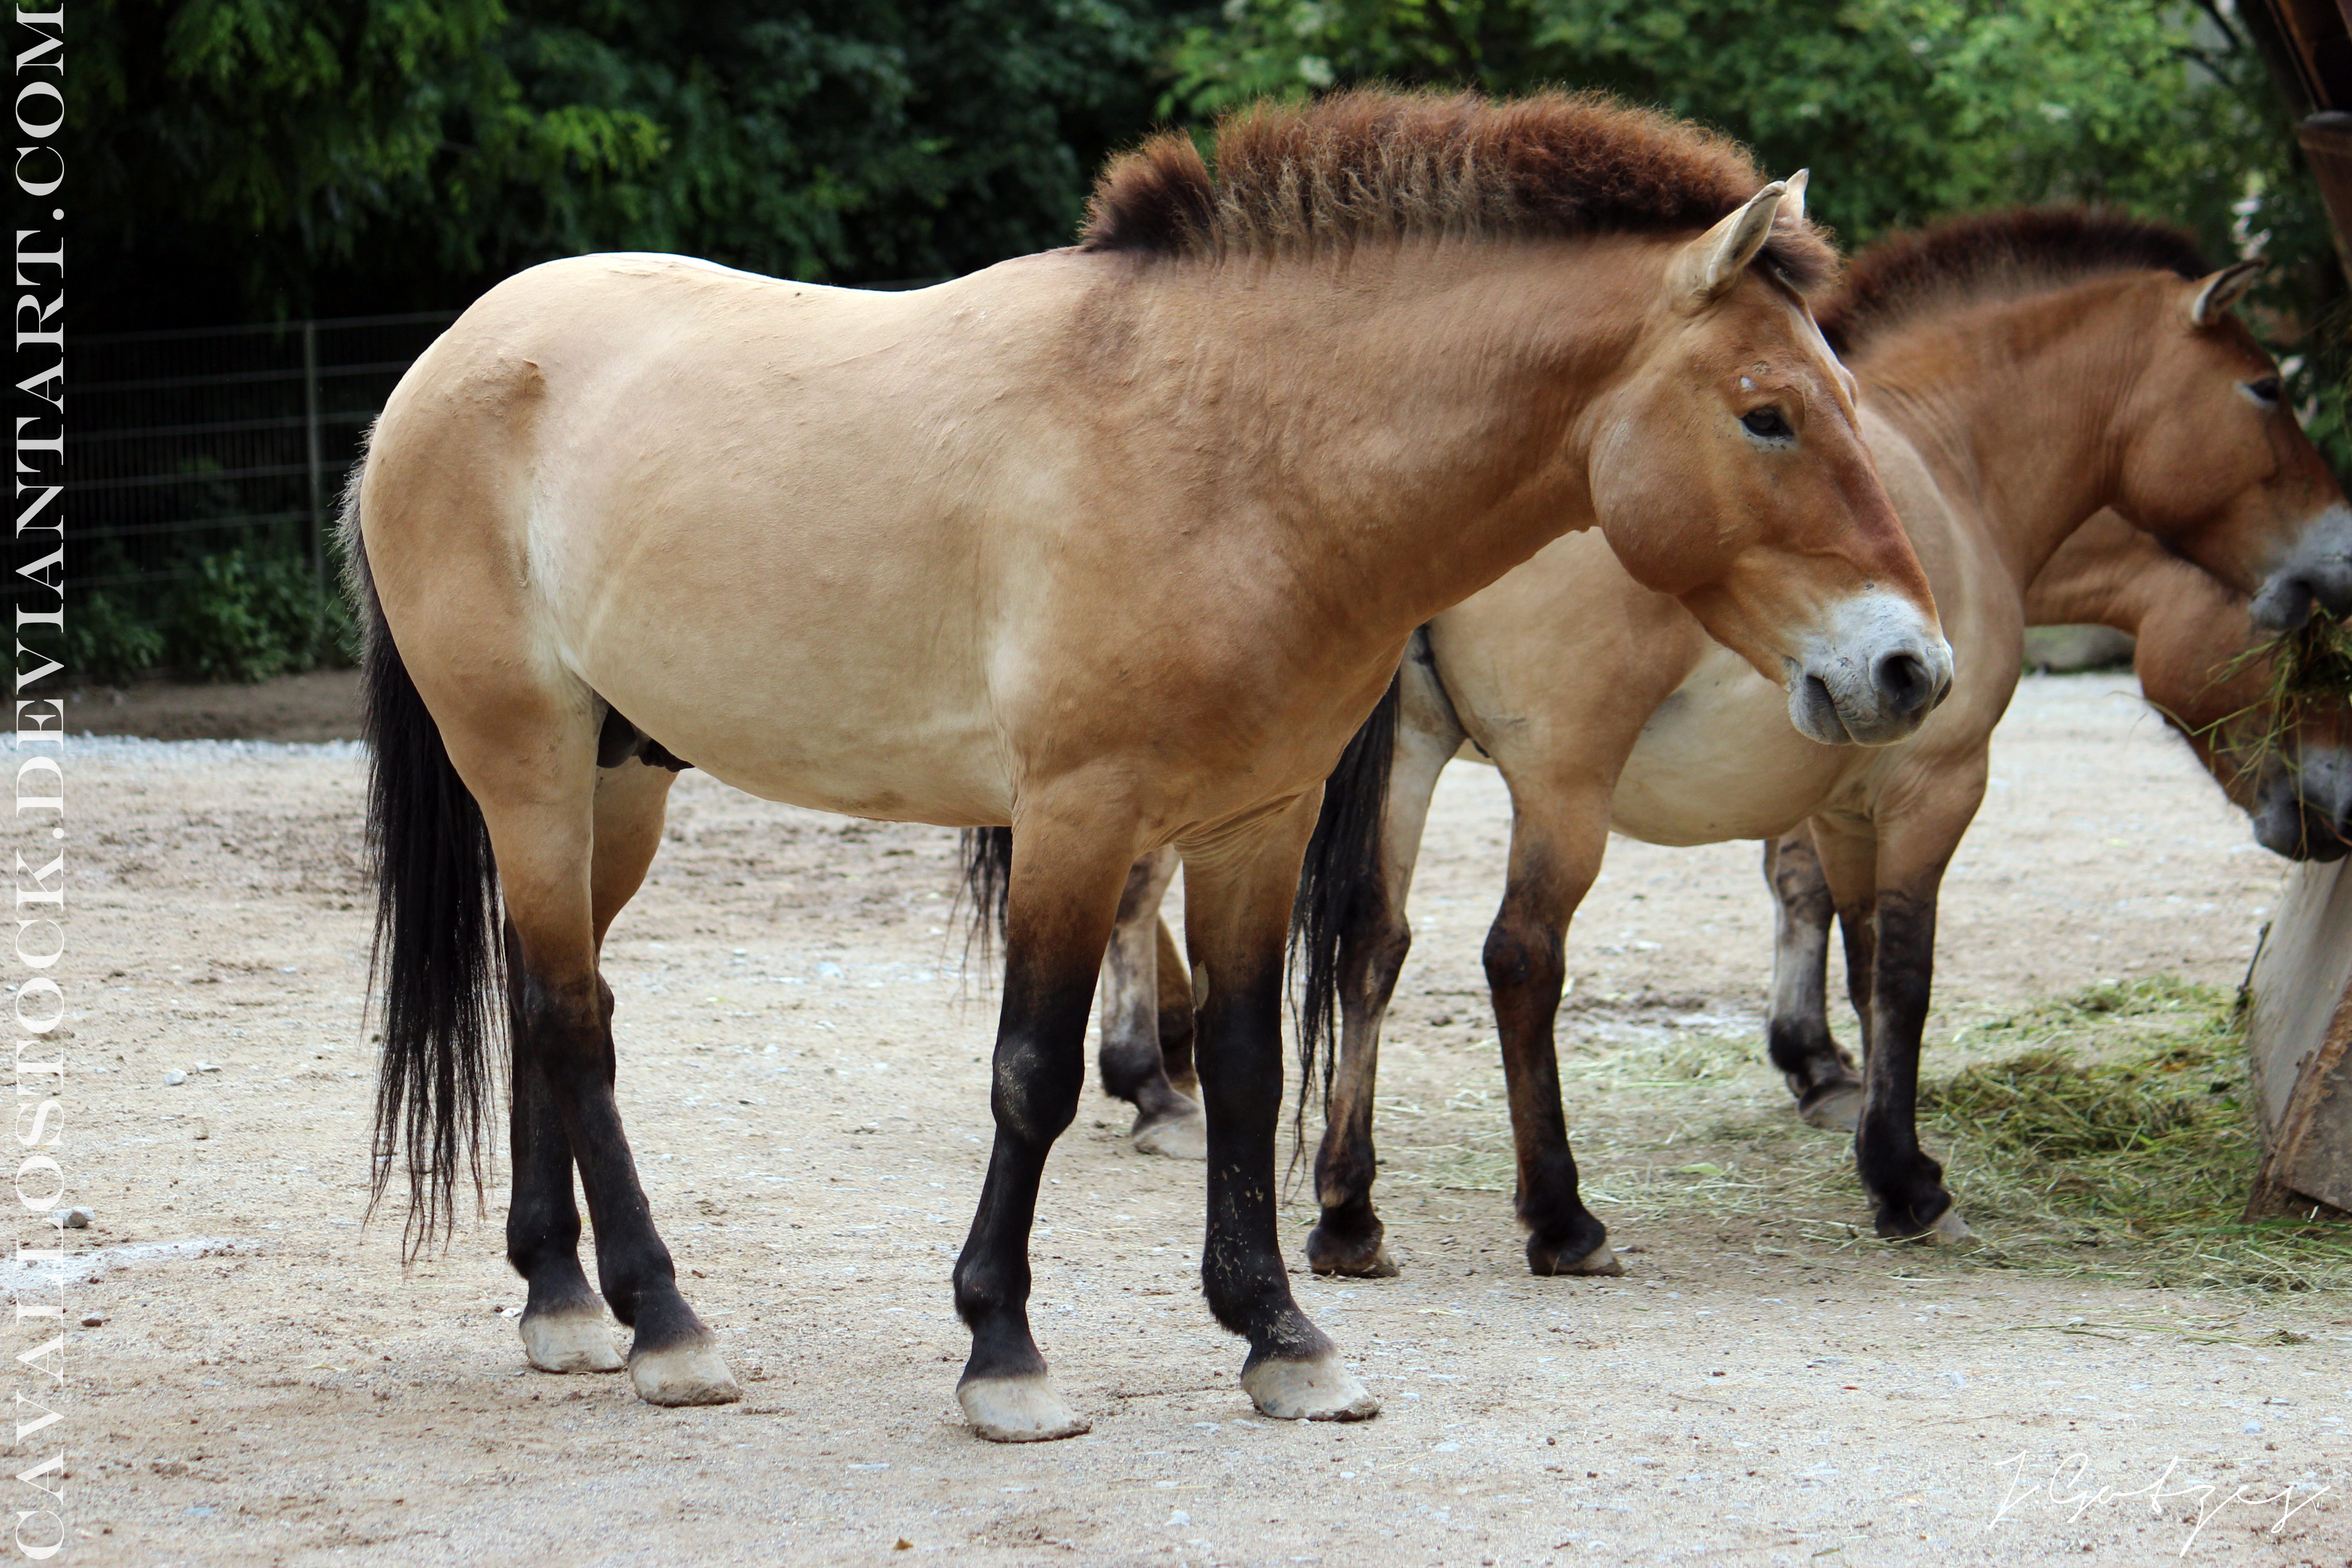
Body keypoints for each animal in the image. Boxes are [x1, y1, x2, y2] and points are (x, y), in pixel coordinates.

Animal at [348, 88, 1947, 1448]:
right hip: (529, 766)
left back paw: (564, 1302)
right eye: (1765, 413)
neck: (1233, 452)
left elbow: (1244, 1065)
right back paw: (665, 1323)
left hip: (615, 785)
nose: (1908, 669)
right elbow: (1034, 1074)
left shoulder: (1258, 821)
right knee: (574, 1019)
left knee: (541, 999)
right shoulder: (1076, 815)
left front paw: (1282, 1338)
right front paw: (1004, 1355)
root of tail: (442, 367)